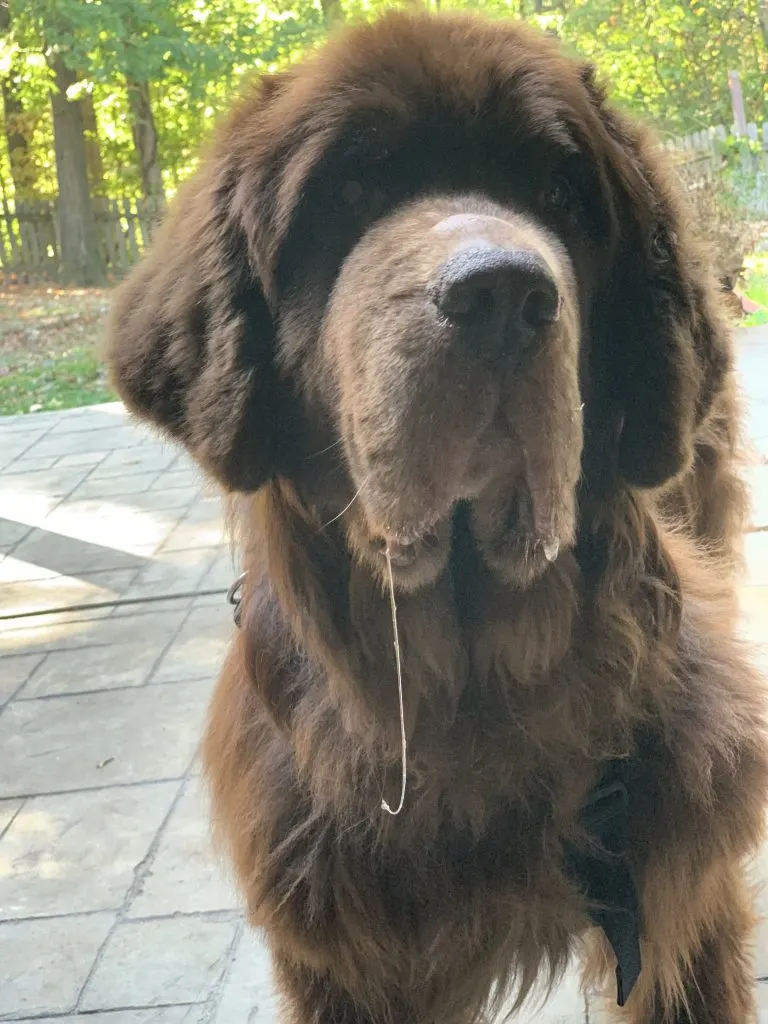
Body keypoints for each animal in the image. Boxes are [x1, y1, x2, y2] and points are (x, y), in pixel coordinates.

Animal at [107, 12, 768, 1022]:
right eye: (347, 195)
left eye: (556, 194)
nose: (499, 293)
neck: (475, 697)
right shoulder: (343, 961)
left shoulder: (676, 911)